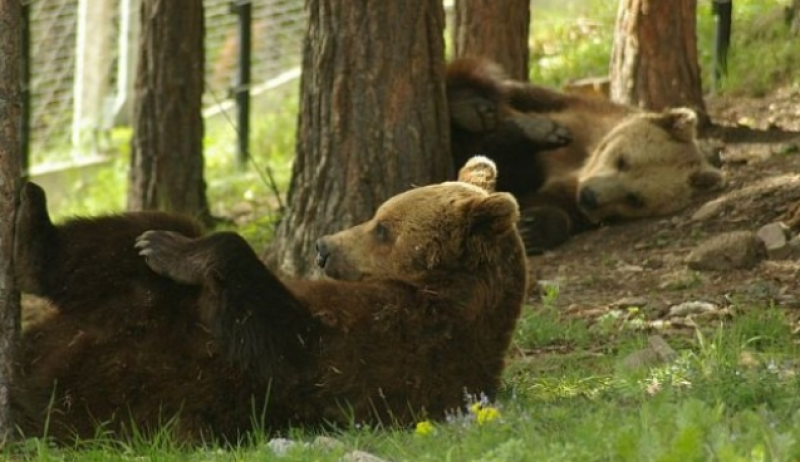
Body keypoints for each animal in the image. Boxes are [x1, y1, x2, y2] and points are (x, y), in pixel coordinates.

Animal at [14, 157, 532, 442]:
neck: (441, 292)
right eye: (377, 214)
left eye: (384, 229)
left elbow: (287, 348)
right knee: (136, 230)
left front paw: (175, 252)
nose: (323, 247)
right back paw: (33, 220)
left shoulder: (399, 345)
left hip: (115, 393)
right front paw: (166, 246)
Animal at [446, 58, 728, 254]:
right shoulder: (581, 110)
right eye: (622, 161)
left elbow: (547, 205)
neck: (582, 161)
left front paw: (532, 227)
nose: (591, 196)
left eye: (635, 199)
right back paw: (471, 108)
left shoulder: (569, 196)